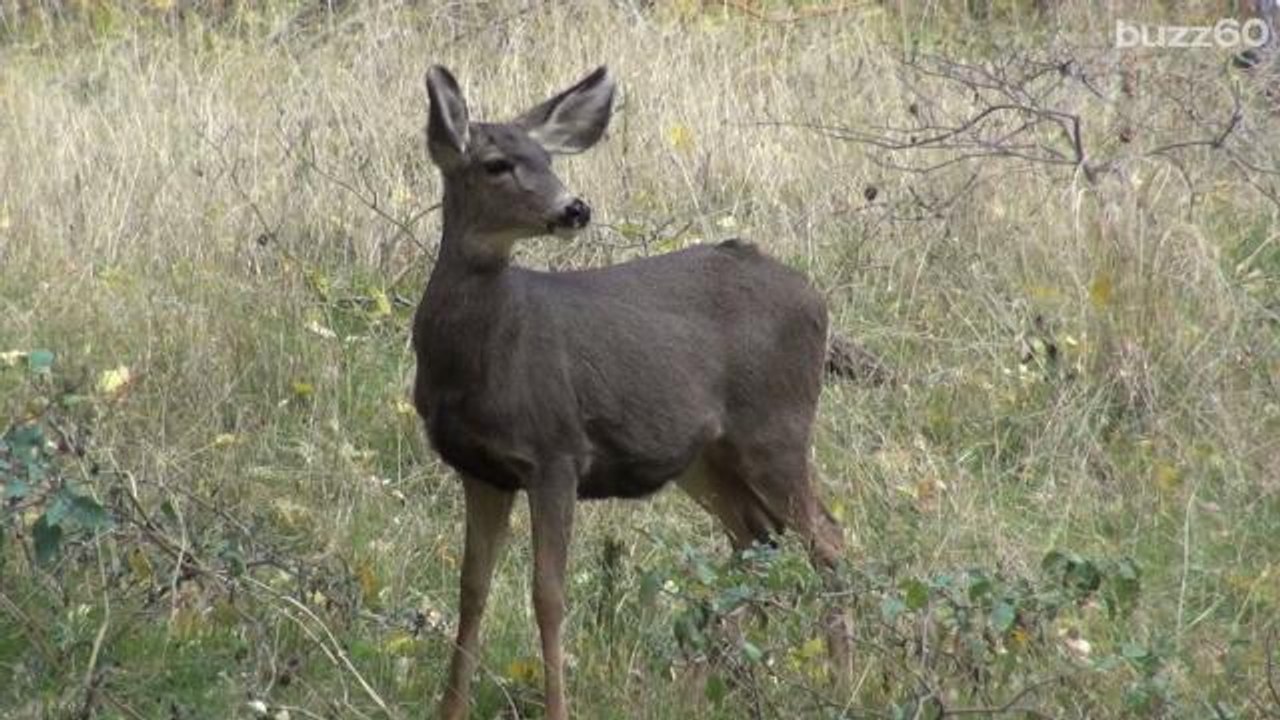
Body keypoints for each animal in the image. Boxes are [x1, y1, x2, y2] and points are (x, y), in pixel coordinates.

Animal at [414, 64, 848, 720]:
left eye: (547, 157)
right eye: (496, 163)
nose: (574, 208)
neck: (480, 361)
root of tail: (816, 297)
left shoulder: (556, 451)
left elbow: (547, 594)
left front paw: (558, 709)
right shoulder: (480, 468)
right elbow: (472, 589)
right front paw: (450, 709)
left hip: (776, 427)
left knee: (829, 539)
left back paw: (842, 681)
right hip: (706, 457)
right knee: (755, 538)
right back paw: (715, 685)